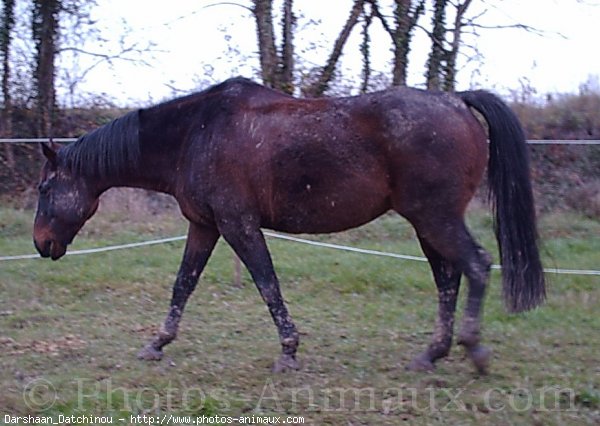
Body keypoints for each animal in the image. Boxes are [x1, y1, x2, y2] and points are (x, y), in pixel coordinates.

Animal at [34, 76, 548, 372]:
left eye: (44, 189)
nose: (41, 244)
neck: (196, 133)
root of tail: (457, 101)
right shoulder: (205, 226)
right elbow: (183, 284)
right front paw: (157, 343)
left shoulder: (239, 225)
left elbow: (267, 284)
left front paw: (289, 350)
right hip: (428, 223)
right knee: (448, 278)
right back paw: (431, 354)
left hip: (435, 217)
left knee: (476, 266)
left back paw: (473, 350)